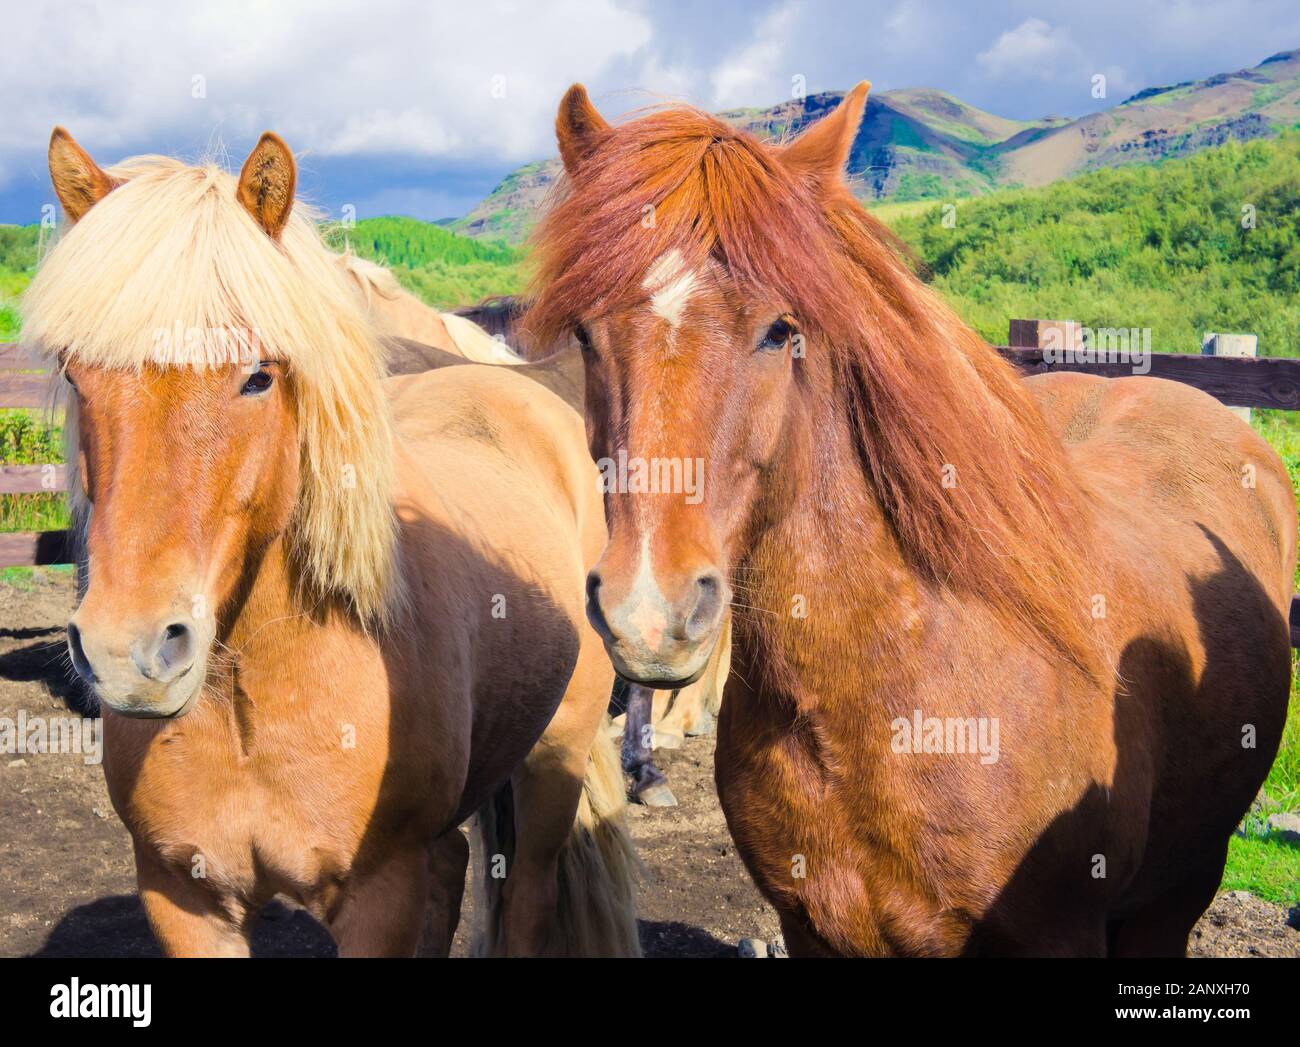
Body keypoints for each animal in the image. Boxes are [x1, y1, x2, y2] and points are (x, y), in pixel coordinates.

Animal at [25, 128, 640, 957]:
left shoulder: (378, 897)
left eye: (258, 376)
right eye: (75, 373)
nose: (131, 653)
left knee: (529, 895)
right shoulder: (183, 899)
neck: (251, 700)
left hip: (555, 757)